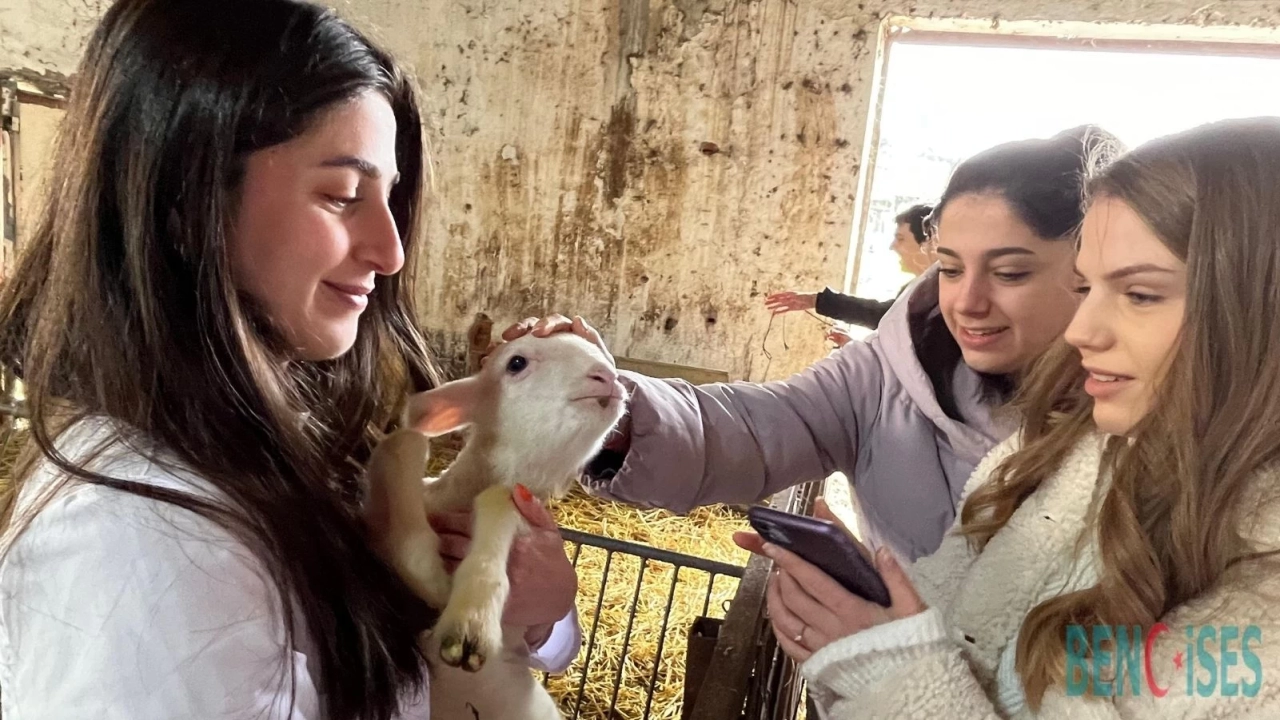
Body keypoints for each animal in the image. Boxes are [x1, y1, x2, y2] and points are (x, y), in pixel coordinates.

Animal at [363, 330, 627, 717]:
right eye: (516, 363)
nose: (607, 376)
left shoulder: (517, 501)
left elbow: (499, 500)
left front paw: (470, 618)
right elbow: (401, 445)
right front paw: (432, 579)